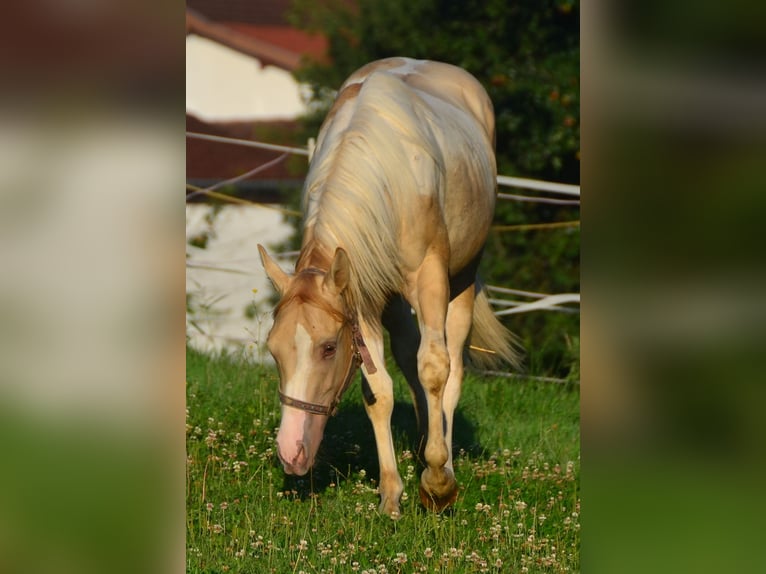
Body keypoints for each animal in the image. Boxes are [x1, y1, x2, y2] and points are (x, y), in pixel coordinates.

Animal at [260, 56, 520, 520]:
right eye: (273, 350)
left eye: (328, 348)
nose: (291, 453)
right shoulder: (362, 298)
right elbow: (378, 391)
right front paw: (391, 492)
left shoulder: (431, 281)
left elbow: (435, 368)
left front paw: (437, 485)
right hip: (395, 302)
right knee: (408, 355)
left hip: (462, 280)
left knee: (451, 367)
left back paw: (441, 462)